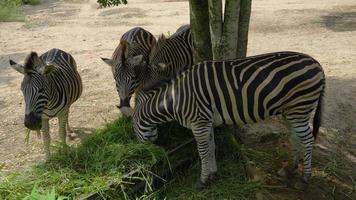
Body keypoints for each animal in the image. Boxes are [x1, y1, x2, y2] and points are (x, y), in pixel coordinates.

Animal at [126, 50, 326, 190]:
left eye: (133, 128)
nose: (144, 150)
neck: (175, 98)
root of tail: (317, 64)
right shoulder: (206, 122)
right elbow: (211, 147)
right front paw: (212, 175)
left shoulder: (198, 123)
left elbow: (203, 152)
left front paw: (202, 181)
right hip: (291, 111)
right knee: (296, 138)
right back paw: (290, 169)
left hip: (300, 108)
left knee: (308, 140)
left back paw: (304, 179)